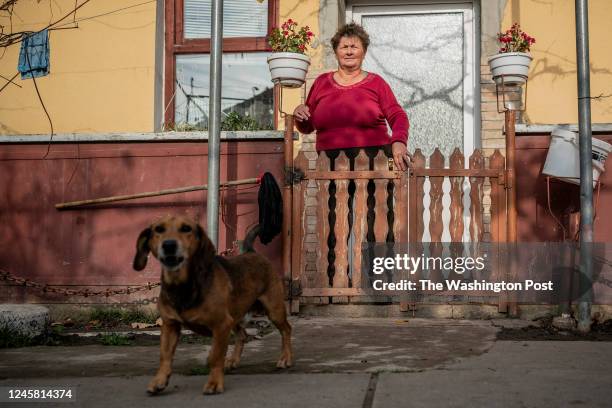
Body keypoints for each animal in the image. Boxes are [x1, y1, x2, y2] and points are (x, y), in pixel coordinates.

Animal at [133, 217, 294, 396]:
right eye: (159, 229)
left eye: (186, 228)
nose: (169, 245)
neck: (182, 286)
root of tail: (251, 252)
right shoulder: (170, 326)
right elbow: (165, 355)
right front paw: (160, 380)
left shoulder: (221, 325)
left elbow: (216, 356)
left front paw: (215, 382)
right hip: (235, 313)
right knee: (242, 335)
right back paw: (233, 360)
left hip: (273, 309)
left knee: (286, 330)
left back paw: (285, 358)